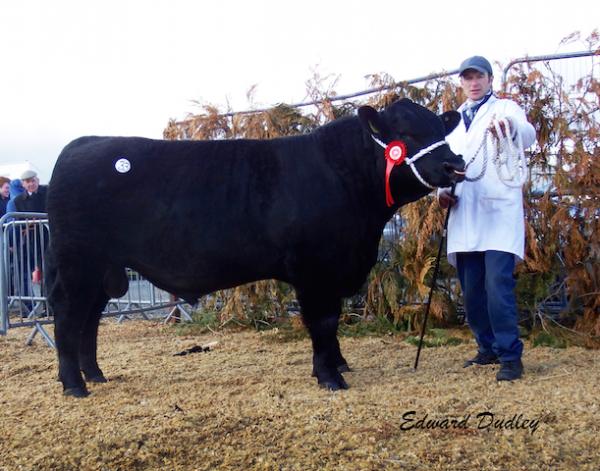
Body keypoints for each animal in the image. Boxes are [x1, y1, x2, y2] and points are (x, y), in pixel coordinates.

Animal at [45, 99, 464, 398]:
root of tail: (82, 144)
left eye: (439, 128)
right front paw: (330, 376)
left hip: (103, 271)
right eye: (406, 133)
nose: (454, 164)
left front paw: (339, 365)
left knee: (89, 319)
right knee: (68, 315)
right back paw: (74, 385)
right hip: (78, 263)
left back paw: (95, 374)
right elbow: (323, 322)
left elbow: (332, 323)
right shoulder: (315, 271)